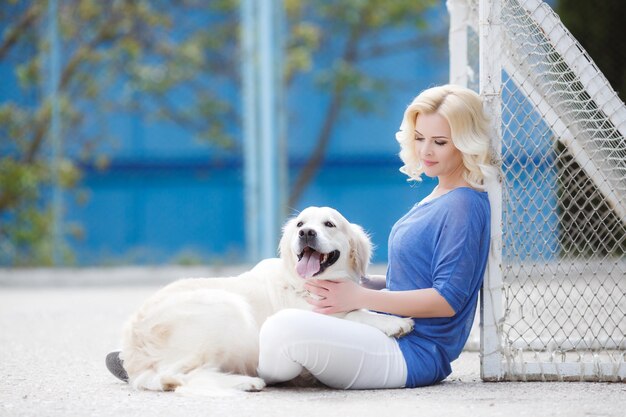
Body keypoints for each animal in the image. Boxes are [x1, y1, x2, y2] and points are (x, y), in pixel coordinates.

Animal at [120, 206, 414, 394]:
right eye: (300, 224)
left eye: (329, 224)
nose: (306, 233)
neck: (302, 284)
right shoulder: (320, 313)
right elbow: (355, 312)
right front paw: (394, 323)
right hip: (227, 308)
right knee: (173, 375)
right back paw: (243, 382)